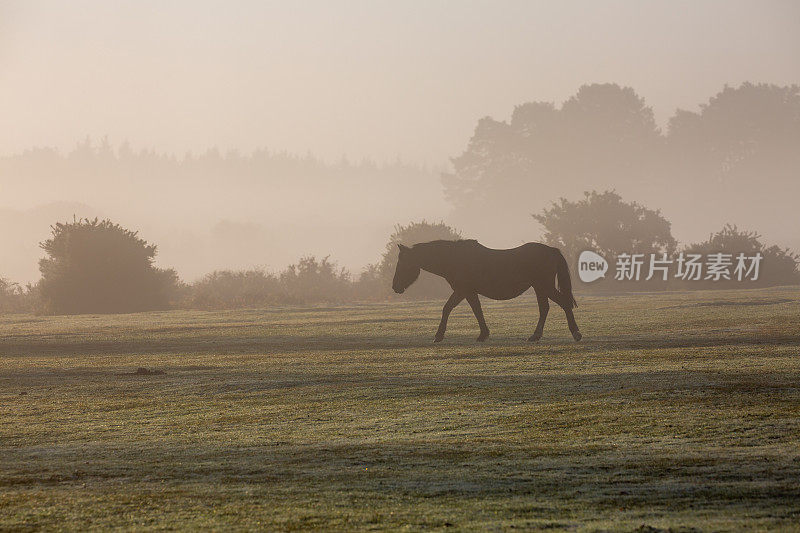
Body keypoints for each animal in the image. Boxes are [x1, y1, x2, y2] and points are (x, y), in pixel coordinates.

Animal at [392, 237, 580, 340]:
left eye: (402, 264)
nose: (395, 287)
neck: (454, 258)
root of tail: (552, 250)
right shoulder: (468, 292)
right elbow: (477, 310)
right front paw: (484, 334)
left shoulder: (463, 290)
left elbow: (448, 308)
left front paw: (439, 335)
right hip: (539, 287)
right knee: (545, 308)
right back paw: (536, 335)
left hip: (544, 286)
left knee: (563, 303)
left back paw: (575, 333)